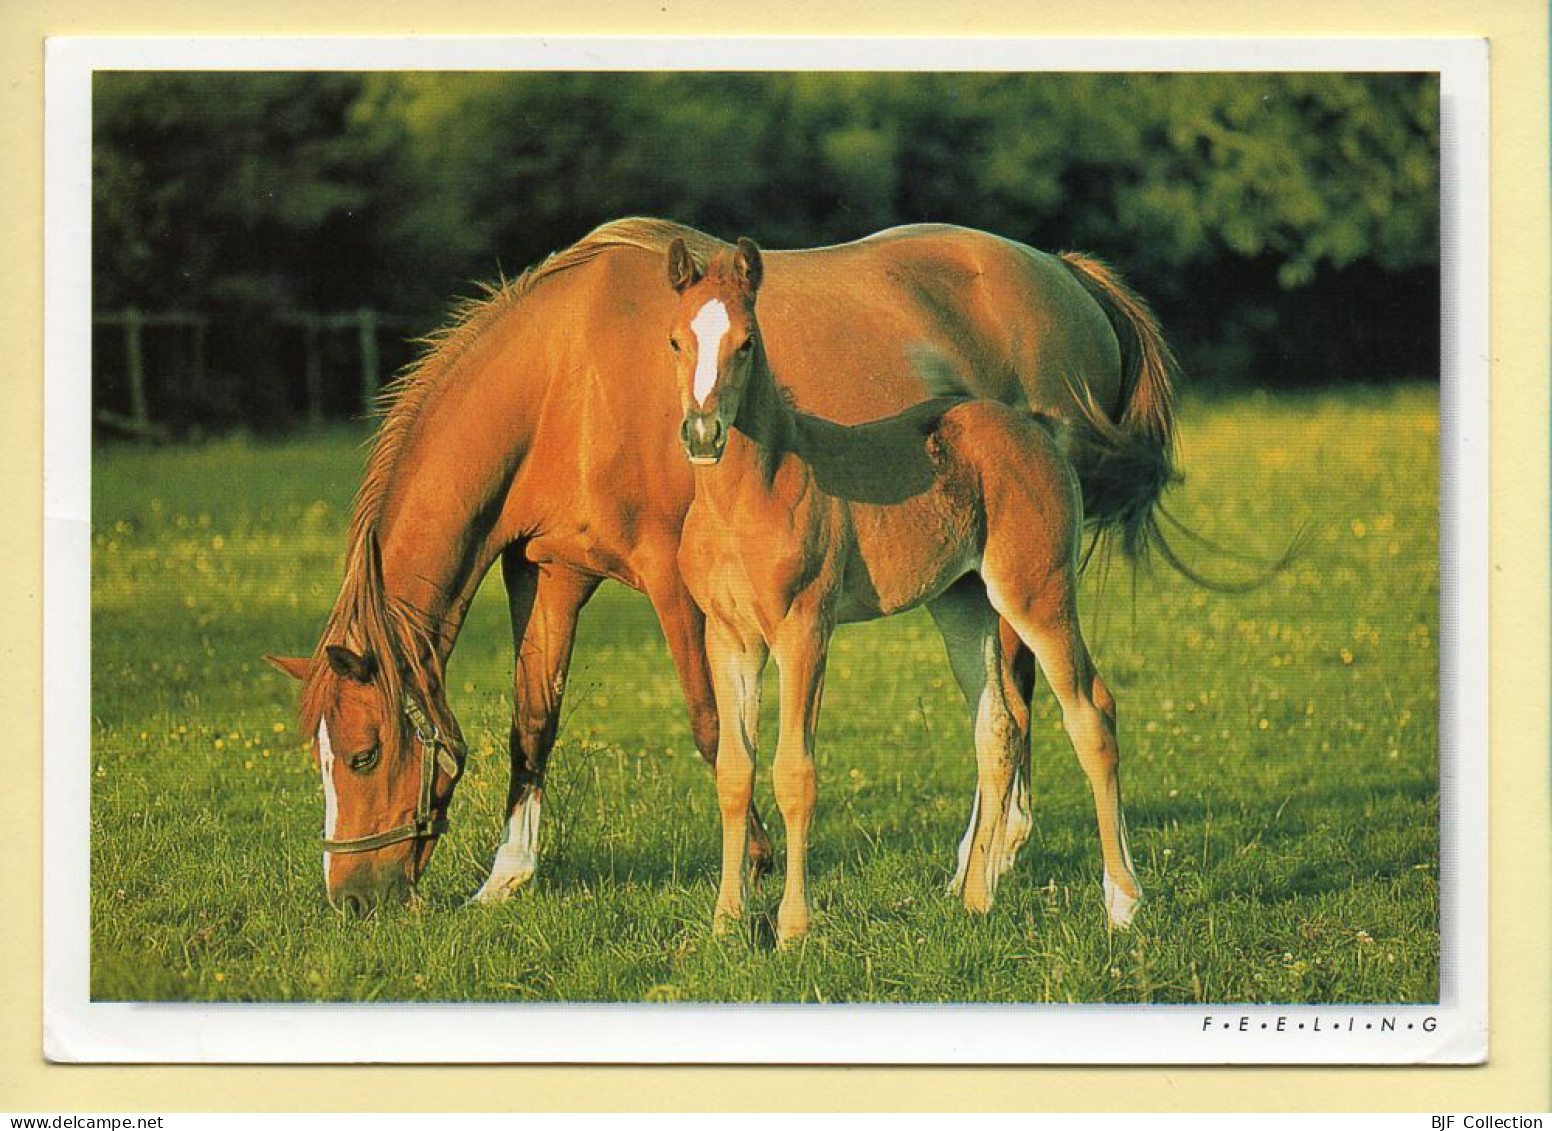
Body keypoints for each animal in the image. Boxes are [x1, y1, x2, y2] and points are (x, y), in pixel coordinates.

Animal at [667, 238, 1142, 943]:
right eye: (676, 340)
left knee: (1091, 713)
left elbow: (793, 772)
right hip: (964, 605)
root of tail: (1032, 428)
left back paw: (1123, 902)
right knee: (998, 728)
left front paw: (793, 927)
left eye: (746, 342)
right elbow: (734, 771)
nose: (702, 434)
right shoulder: (731, 638)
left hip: (1037, 594)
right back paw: (975, 899)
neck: (747, 498)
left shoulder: (805, 629)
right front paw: (727, 922)